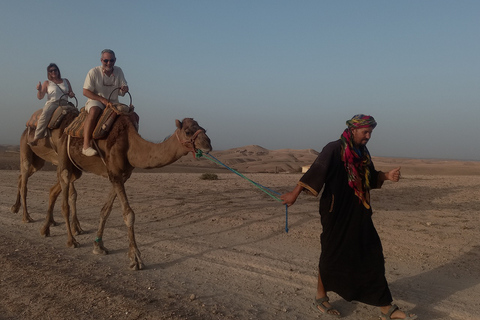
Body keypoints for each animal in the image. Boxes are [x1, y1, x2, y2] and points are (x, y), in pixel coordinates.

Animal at [53, 115, 211, 270]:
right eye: (188, 132)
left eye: (204, 129)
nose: (208, 144)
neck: (130, 145)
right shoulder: (115, 173)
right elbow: (129, 214)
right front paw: (135, 258)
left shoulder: (121, 176)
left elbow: (106, 210)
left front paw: (98, 246)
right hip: (64, 155)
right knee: (65, 194)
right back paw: (71, 240)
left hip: (76, 167)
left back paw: (51, 229)